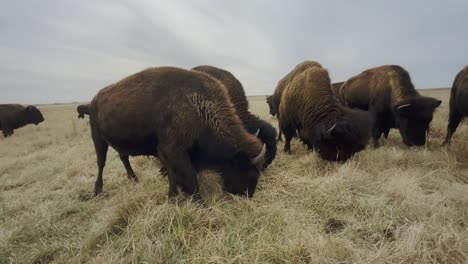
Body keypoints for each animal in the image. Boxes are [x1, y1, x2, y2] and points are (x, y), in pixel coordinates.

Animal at [89, 67, 266, 200]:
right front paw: (201, 205)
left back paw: (134, 179)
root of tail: (93, 100)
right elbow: (190, 181)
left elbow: (172, 175)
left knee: (123, 158)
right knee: (101, 163)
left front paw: (172, 196)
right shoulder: (173, 151)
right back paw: (98, 191)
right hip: (98, 139)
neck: (198, 106)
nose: (248, 194)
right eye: (248, 170)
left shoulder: (167, 153)